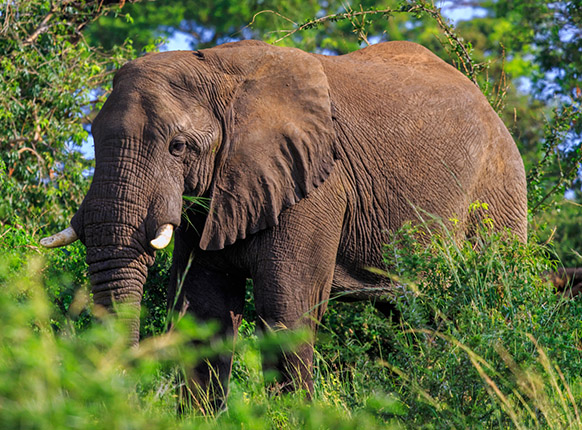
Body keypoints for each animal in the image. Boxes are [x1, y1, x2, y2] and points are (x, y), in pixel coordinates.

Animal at [41, 39, 528, 406]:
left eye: (178, 146)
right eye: (91, 137)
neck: (217, 69)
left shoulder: (318, 187)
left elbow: (285, 312)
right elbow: (205, 315)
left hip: (498, 190)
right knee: (409, 318)